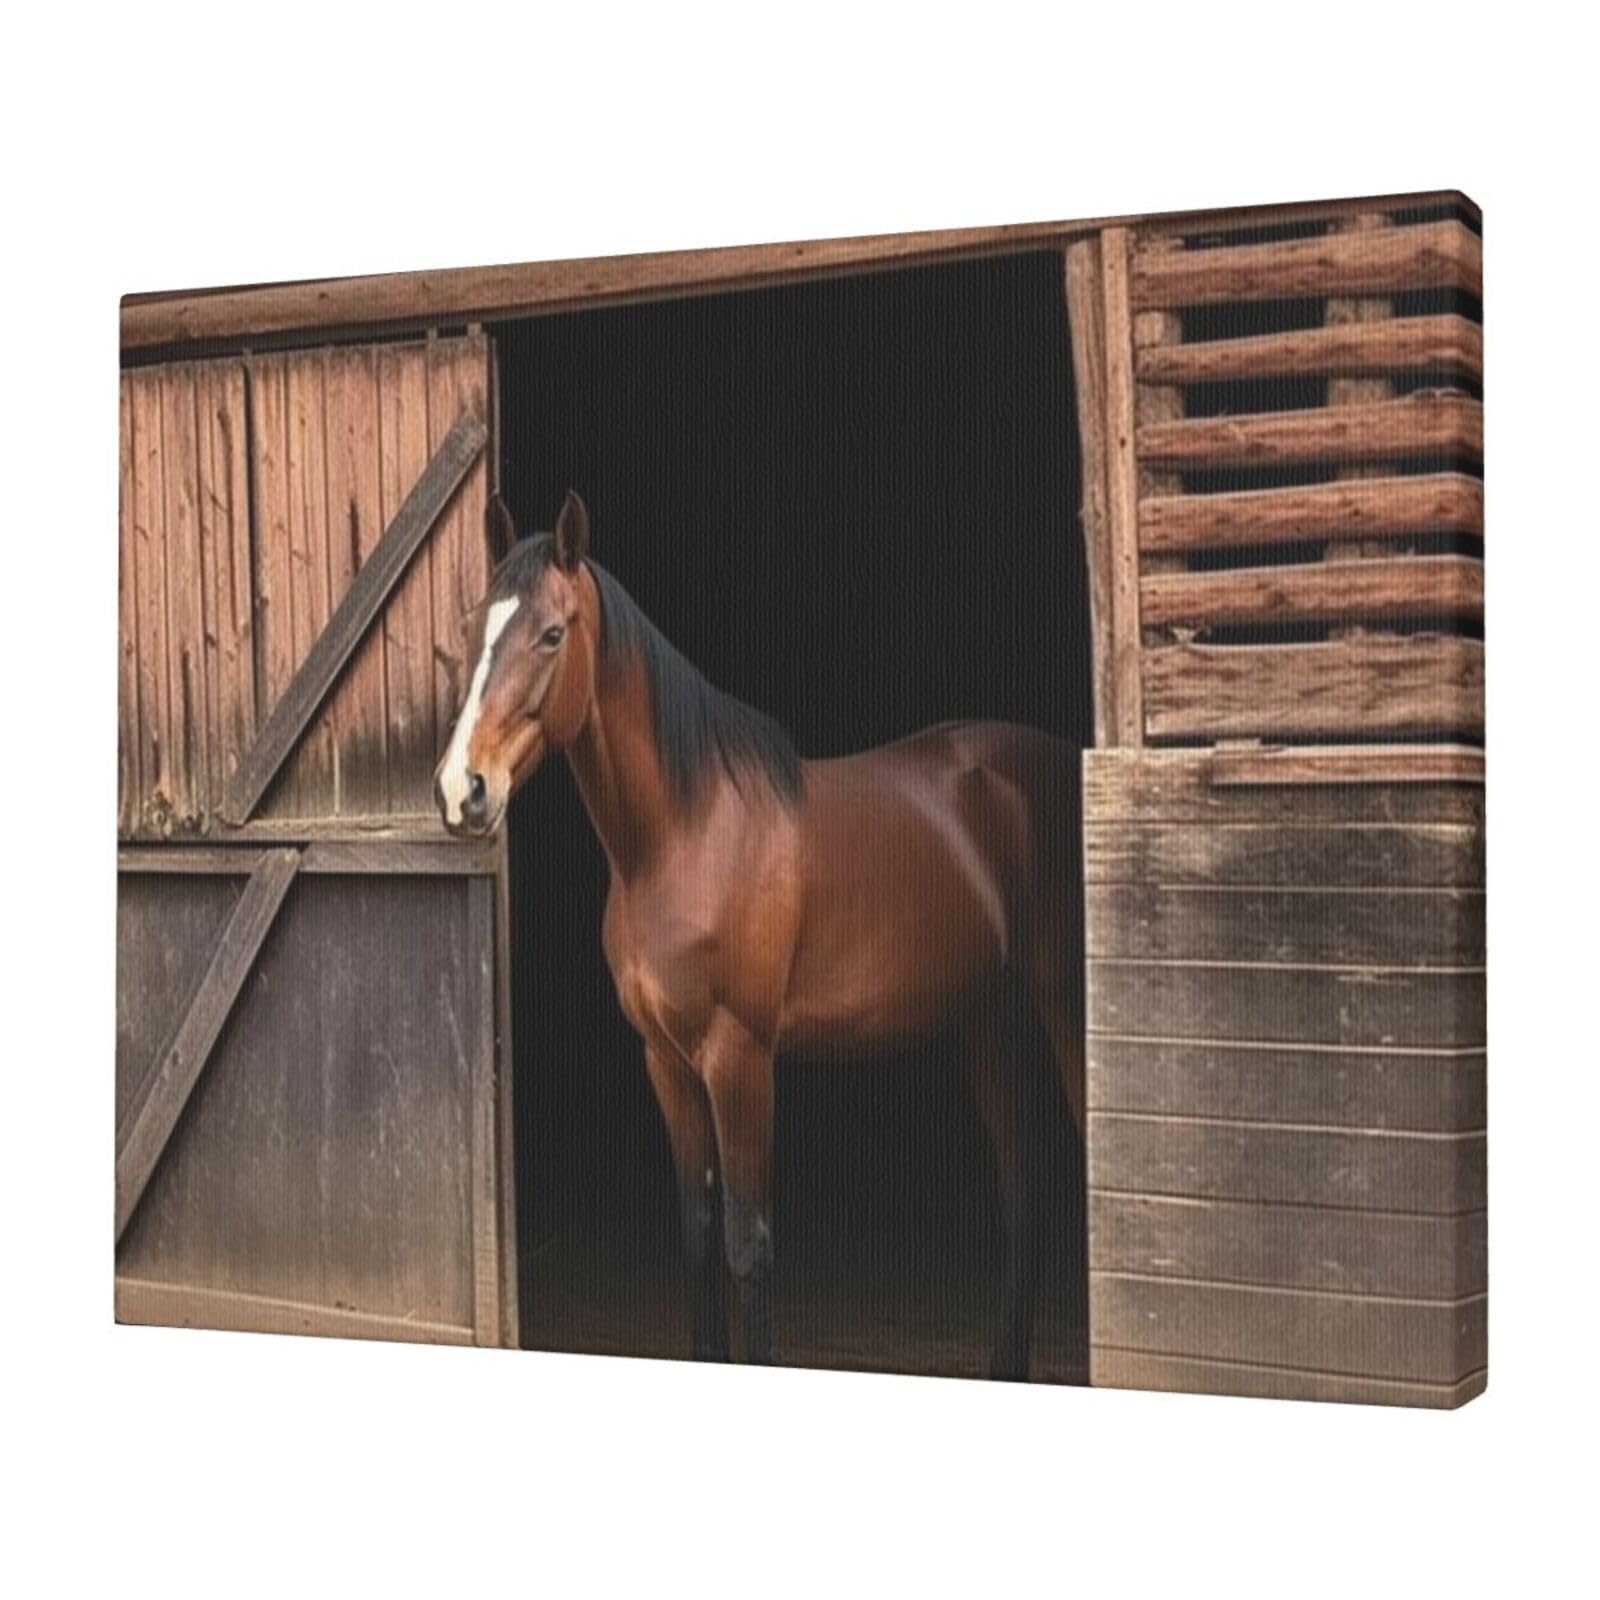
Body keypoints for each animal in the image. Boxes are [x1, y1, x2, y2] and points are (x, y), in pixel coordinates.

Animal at [435, 491, 1084, 1379]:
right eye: (474, 628)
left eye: (552, 634)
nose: (461, 791)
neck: (685, 833)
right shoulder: (665, 1061)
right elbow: (699, 1235)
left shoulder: (739, 1058)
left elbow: (749, 1244)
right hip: (990, 1021)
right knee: (1025, 1195)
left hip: (1065, 1012)